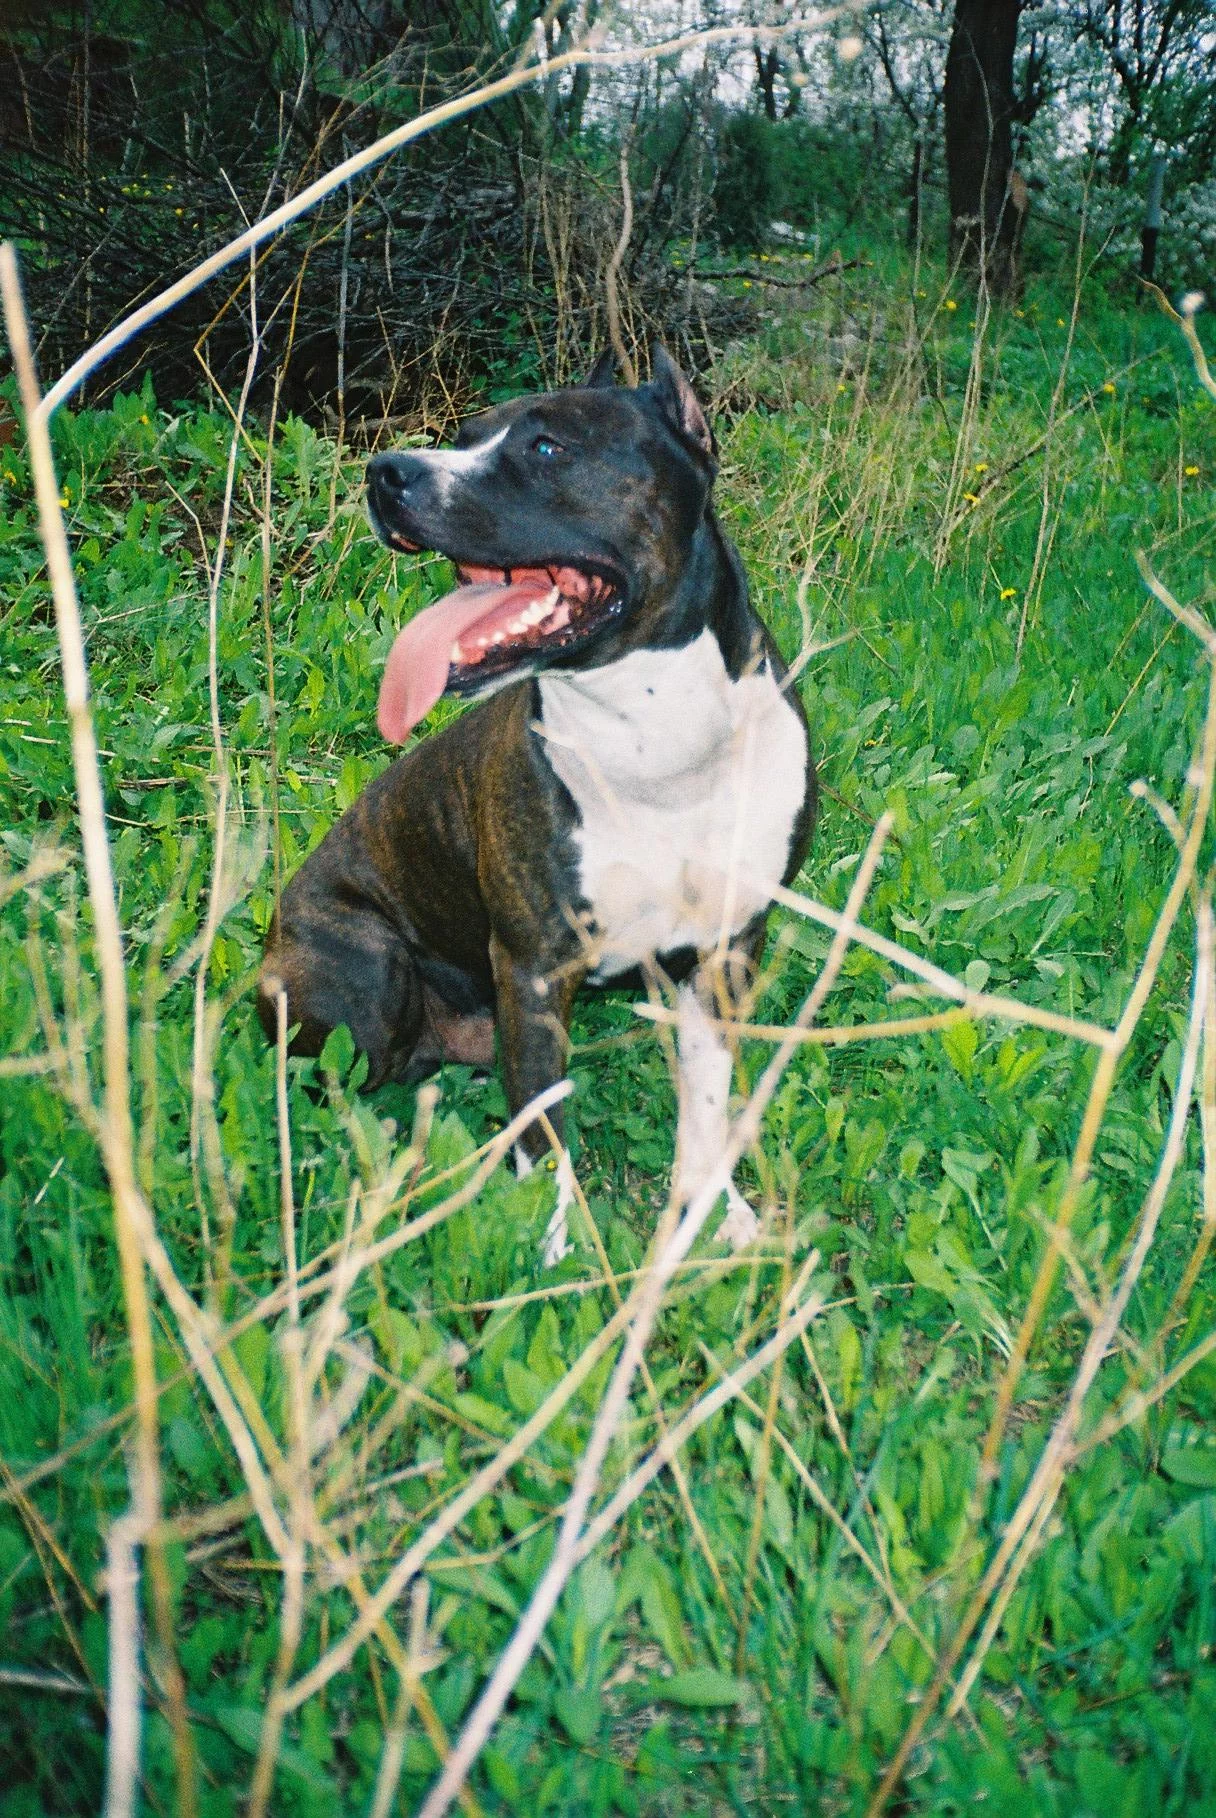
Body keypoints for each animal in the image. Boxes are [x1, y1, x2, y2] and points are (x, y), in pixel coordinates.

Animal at [257, 349, 817, 1260]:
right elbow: (546, 1126)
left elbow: (706, 1103)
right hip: (370, 974)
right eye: (466, 436)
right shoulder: (535, 968)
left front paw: (713, 1211)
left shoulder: (726, 953)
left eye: (550, 448)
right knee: (327, 1078)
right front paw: (553, 1246)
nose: (386, 472)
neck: (653, 741)